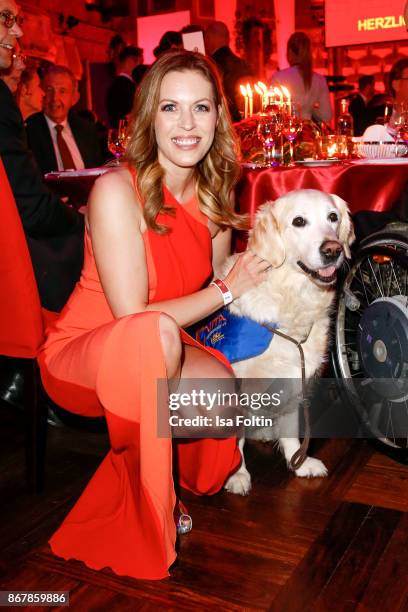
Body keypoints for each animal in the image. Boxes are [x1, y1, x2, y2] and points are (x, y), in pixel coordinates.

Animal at [223, 189, 354, 494]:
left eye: (333, 217)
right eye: (299, 221)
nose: (333, 250)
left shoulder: (296, 376)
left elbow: (292, 429)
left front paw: (299, 462)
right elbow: (236, 437)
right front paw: (236, 473)